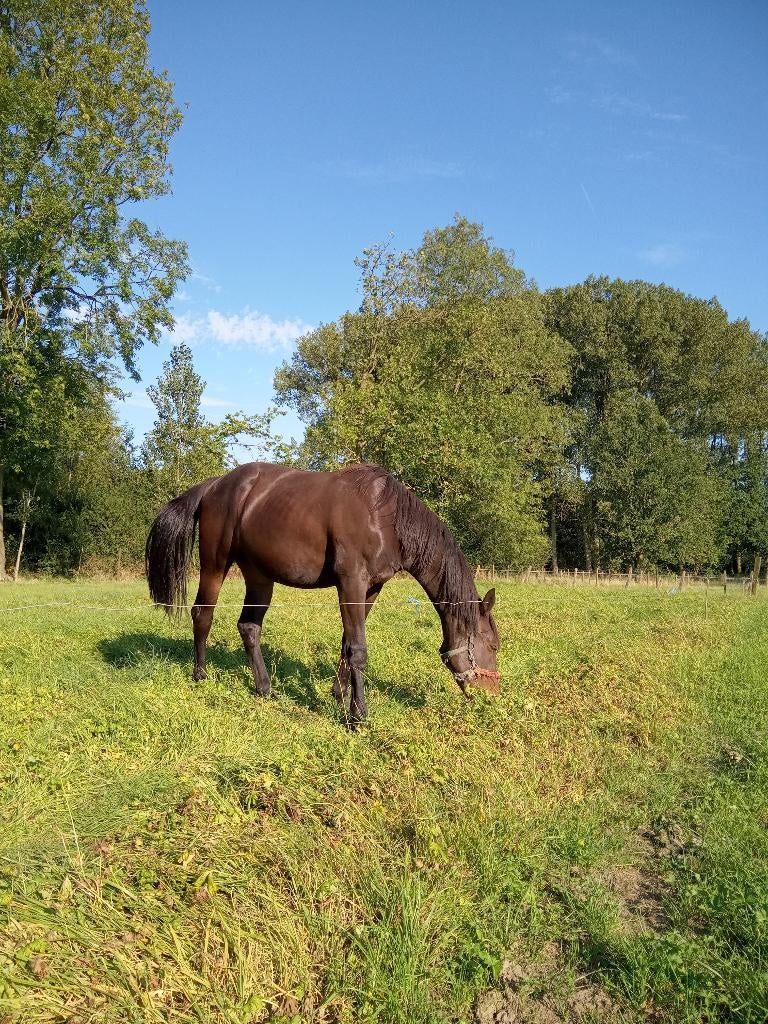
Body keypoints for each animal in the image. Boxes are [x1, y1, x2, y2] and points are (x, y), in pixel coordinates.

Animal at [145, 462, 500, 725]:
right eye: (493, 645)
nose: (491, 695)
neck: (384, 517)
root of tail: (215, 484)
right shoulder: (351, 582)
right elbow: (358, 648)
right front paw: (358, 716)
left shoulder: (371, 588)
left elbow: (347, 644)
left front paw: (340, 694)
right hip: (215, 565)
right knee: (203, 614)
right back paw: (201, 675)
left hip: (260, 577)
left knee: (249, 627)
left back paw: (265, 688)